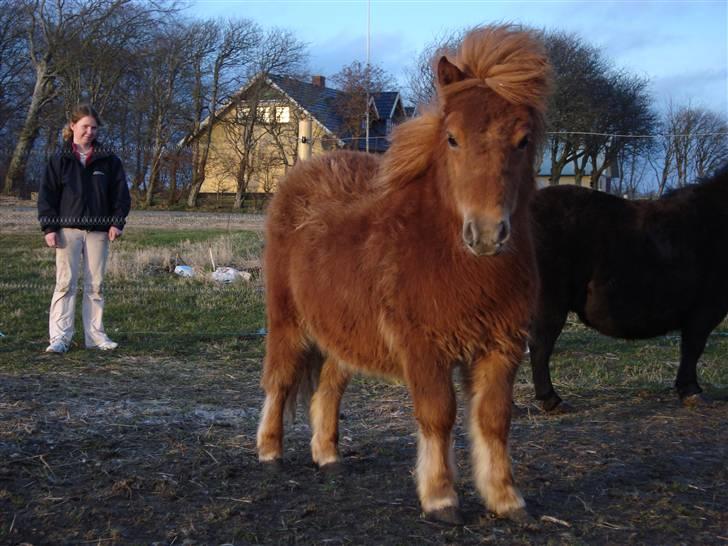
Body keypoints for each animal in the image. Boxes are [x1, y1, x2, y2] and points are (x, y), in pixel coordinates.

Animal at [258, 26, 548, 524]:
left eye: (523, 140)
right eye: (451, 138)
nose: (486, 233)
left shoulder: (502, 346)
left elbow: (494, 420)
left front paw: (506, 499)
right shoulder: (424, 347)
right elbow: (438, 415)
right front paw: (441, 498)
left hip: (342, 332)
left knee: (328, 389)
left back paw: (328, 458)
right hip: (289, 324)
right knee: (278, 381)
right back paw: (270, 454)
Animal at [528, 164, 728, 410]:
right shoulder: (706, 308)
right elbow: (693, 348)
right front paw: (691, 391)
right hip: (549, 301)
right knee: (540, 344)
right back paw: (551, 399)